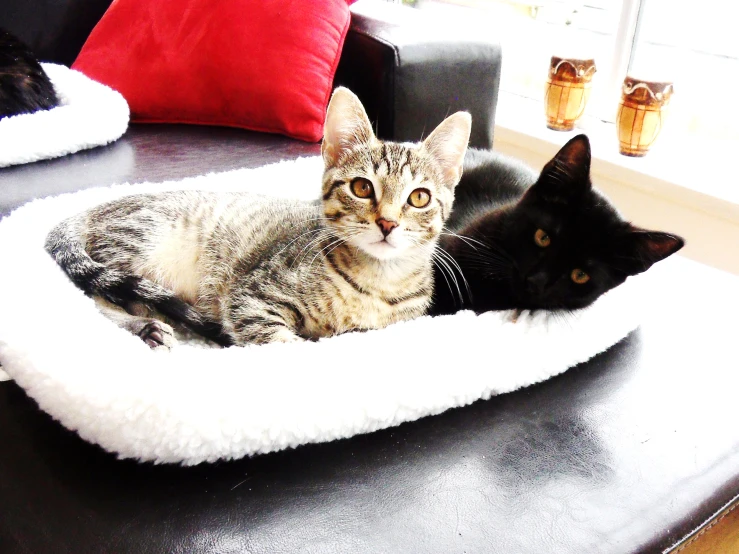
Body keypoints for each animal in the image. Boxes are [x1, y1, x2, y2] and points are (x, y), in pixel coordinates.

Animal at [46, 87, 472, 344]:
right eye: (362, 188)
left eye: (419, 197)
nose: (387, 223)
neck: (379, 281)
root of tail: (92, 207)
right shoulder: (252, 297)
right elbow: (282, 343)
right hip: (140, 246)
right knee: (97, 300)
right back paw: (143, 325)